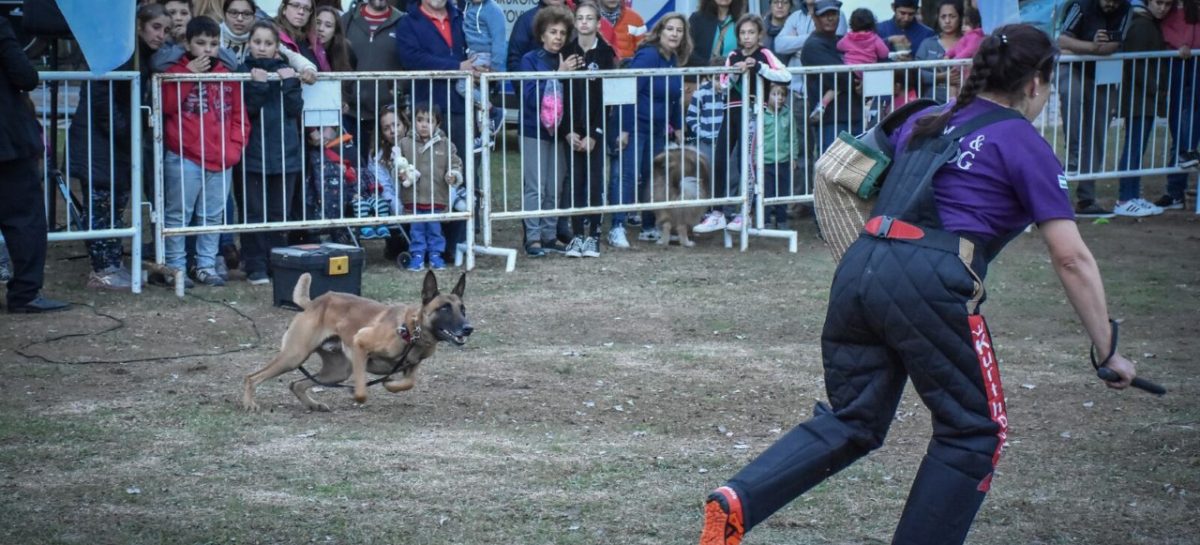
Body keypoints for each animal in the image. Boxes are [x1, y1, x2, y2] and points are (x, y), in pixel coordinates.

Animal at [241, 270, 470, 410]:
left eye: (463, 309)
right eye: (444, 308)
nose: (468, 328)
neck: (412, 329)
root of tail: (314, 303)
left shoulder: (412, 366)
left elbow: (408, 383)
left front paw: (389, 384)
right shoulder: (360, 344)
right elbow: (361, 391)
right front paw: (356, 392)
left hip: (337, 371)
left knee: (296, 384)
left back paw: (314, 405)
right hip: (294, 356)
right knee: (252, 377)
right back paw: (249, 403)